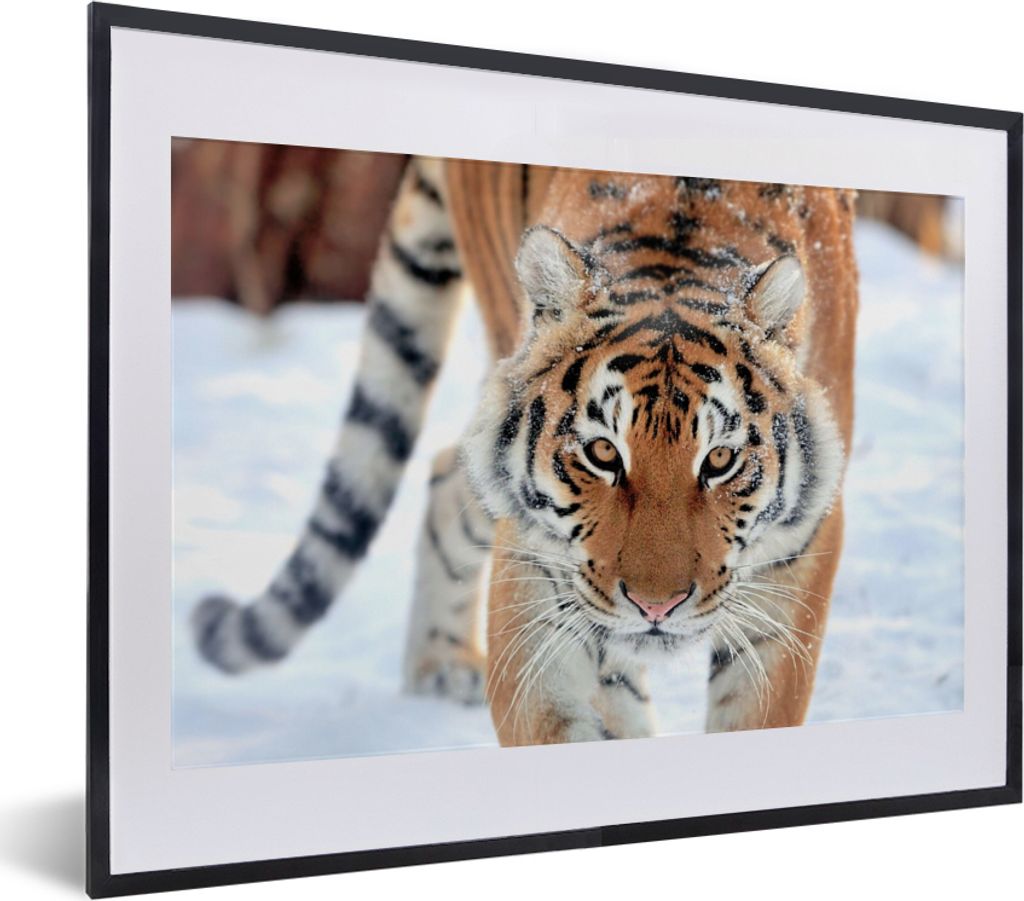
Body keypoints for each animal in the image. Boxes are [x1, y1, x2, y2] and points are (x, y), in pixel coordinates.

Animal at [192, 156, 858, 746]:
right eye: (603, 453)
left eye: (719, 460)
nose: (656, 606)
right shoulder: (539, 581)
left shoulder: (796, 562)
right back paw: (440, 667)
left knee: (445, 471)